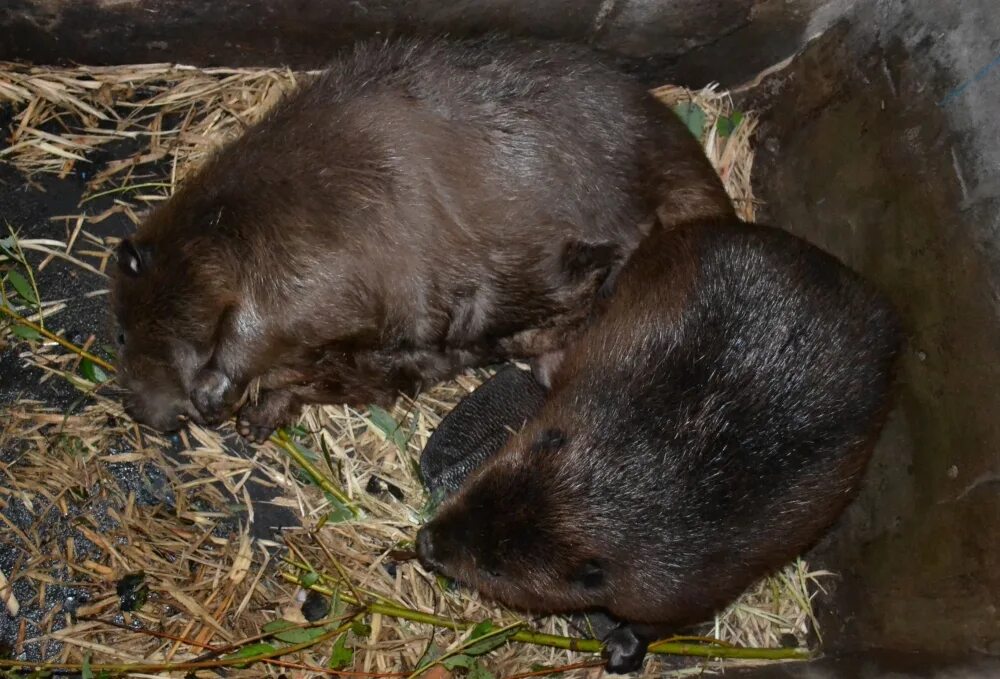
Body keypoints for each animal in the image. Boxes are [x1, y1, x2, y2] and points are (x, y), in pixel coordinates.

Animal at [111, 33, 736, 440]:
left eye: (122, 329)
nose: (146, 412)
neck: (242, 216)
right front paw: (257, 417)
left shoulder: (318, 251)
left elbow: (259, 326)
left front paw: (219, 391)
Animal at [418, 219, 904, 676]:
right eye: (480, 488)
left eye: (494, 569)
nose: (425, 545)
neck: (639, 474)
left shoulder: (684, 580)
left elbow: (666, 619)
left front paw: (621, 648)